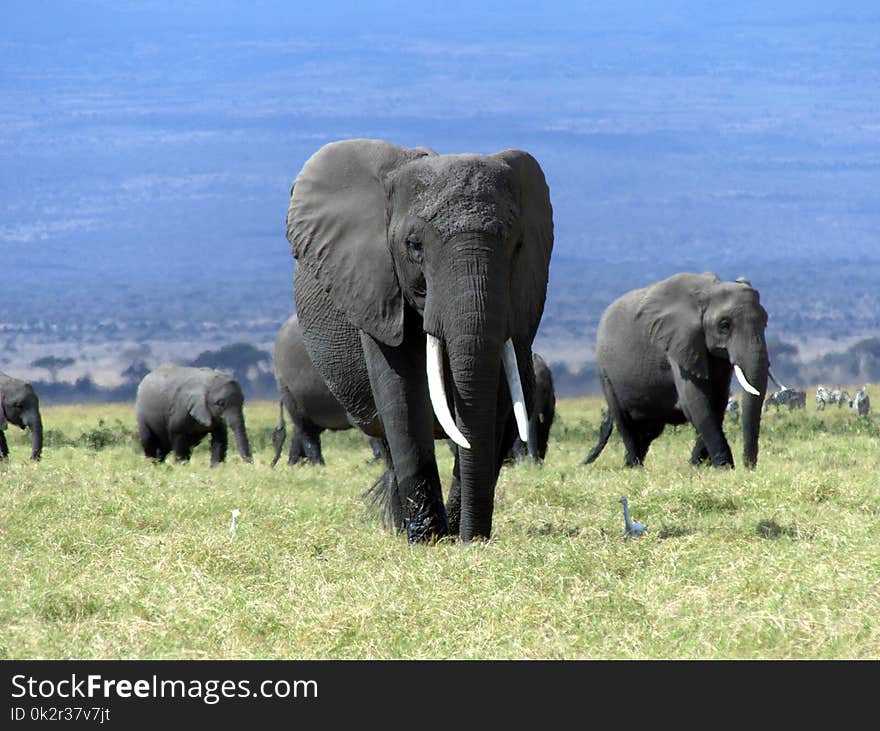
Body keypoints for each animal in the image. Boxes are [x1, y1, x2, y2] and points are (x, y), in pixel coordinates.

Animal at [288, 139, 552, 544]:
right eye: (414, 246)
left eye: (518, 245)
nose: (469, 538)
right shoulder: (376, 289)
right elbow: (401, 391)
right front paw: (428, 540)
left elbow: (500, 396)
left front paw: (463, 536)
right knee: (386, 440)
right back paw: (403, 528)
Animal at [584, 274, 768, 468]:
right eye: (724, 325)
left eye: (765, 321)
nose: (748, 467)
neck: (707, 293)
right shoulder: (678, 343)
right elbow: (696, 402)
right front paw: (724, 468)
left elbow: (717, 402)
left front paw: (697, 466)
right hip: (605, 373)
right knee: (625, 423)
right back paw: (634, 467)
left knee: (649, 430)